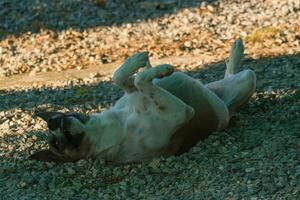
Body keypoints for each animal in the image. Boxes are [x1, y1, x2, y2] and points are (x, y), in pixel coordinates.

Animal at [29, 38, 255, 163]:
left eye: (57, 120)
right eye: (58, 143)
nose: (60, 125)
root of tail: (226, 106)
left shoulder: (130, 92)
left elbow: (122, 77)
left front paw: (141, 62)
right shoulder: (181, 112)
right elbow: (139, 80)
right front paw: (159, 69)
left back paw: (235, 50)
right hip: (246, 81)